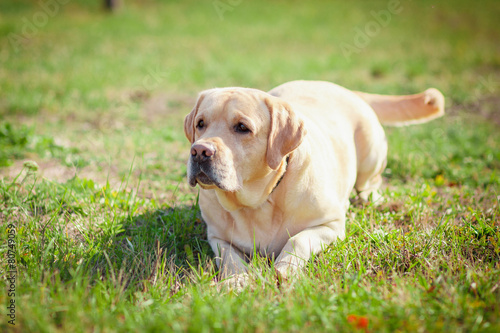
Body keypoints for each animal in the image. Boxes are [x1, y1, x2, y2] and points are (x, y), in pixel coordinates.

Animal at [185, 79, 446, 284]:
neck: (258, 201)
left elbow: (298, 239)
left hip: (371, 156)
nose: (199, 151)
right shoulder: (216, 237)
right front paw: (236, 280)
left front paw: (285, 269)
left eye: (242, 127)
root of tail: (346, 89)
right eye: (200, 124)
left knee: (369, 184)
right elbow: (229, 257)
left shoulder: (331, 225)